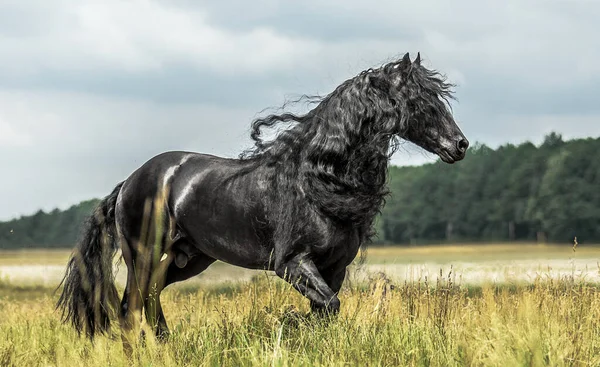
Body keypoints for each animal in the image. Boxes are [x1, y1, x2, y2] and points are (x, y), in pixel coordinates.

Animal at [57, 52, 468, 348]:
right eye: (419, 100)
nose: (460, 145)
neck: (317, 181)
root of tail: (131, 181)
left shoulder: (334, 268)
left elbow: (325, 311)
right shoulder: (292, 263)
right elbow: (326, 307)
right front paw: (289, 323)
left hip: (188, 258)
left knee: (151, 299)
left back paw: (164, 345)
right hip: (142, 254)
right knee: (131, 306)